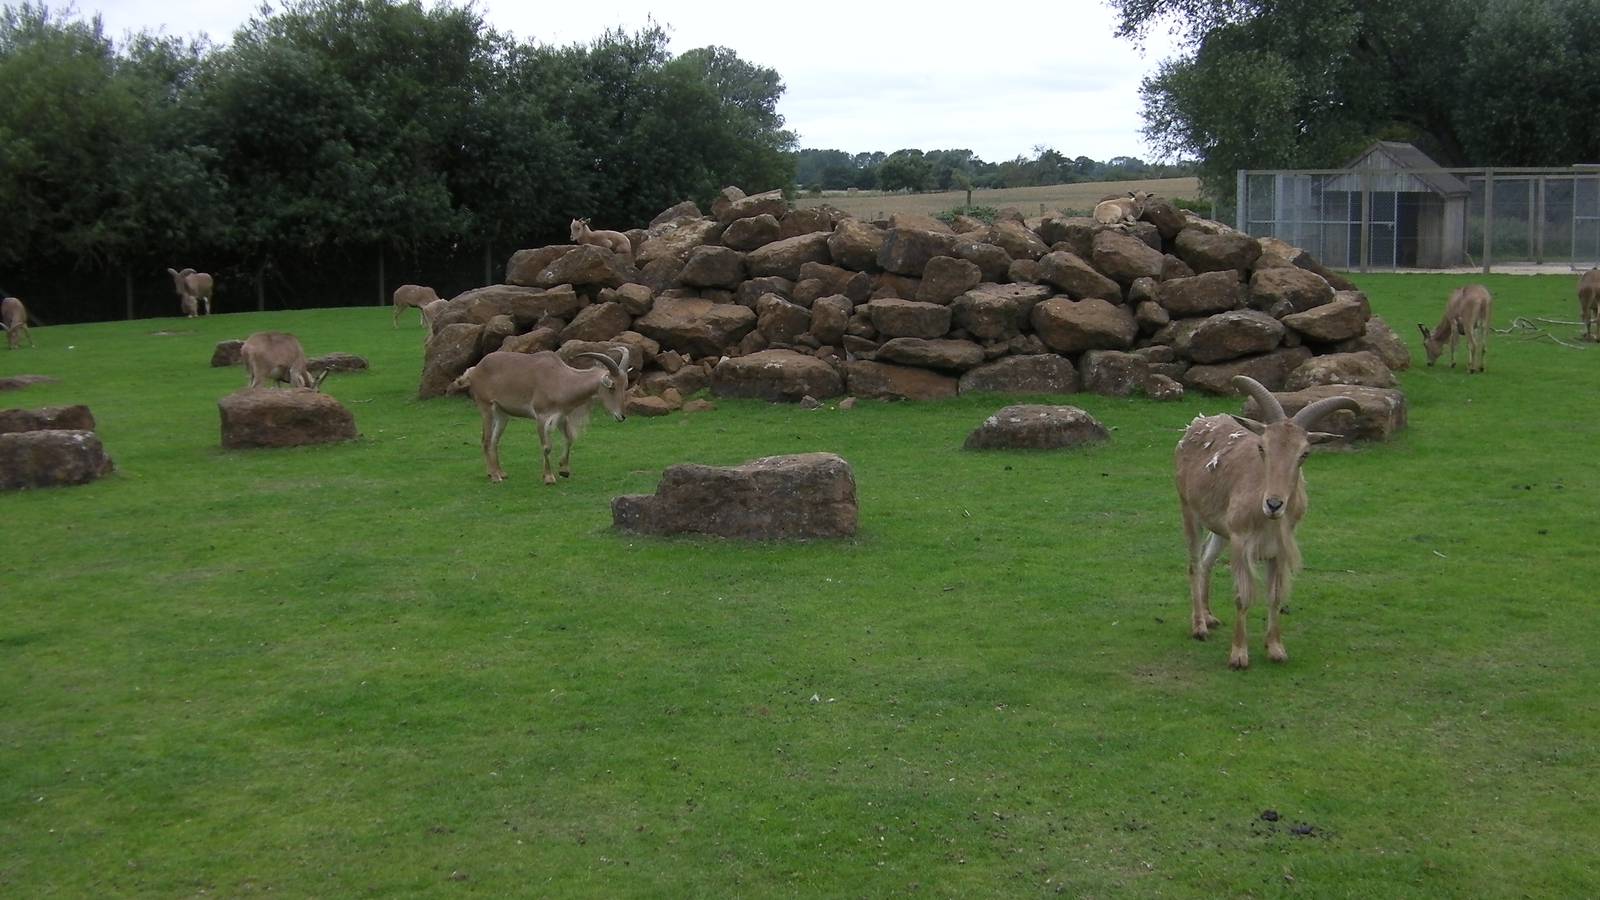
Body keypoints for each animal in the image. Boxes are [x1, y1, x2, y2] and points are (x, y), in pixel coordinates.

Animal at [448, 347, 630, 484]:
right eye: (612, 387)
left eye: (625, 385)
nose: (621, 416)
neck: (560, 379)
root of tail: (474, 370)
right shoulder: (542, 417)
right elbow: (546, 446)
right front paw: (549, 477)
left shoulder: (561, 417)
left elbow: (569, 439)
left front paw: (564, 470)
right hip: (486, 408)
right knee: (485, 440)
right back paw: (495, 477)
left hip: (502, 414)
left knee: (494, 441)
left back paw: (500, 472)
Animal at [1174, 375, 1359, 669]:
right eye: (1262, 447)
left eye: (1304, 454)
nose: (1274, 504)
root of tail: (1196, 424)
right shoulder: (1241, 542)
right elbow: (1242, 597)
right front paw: (1239, 655)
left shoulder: (1278, 549)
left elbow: (1275, 595)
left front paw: (1275, 649)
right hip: (1190, 511)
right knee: (1194, 564)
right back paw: (1199, 626)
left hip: (1221, 531)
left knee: (1206, 561)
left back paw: (1210, 616)